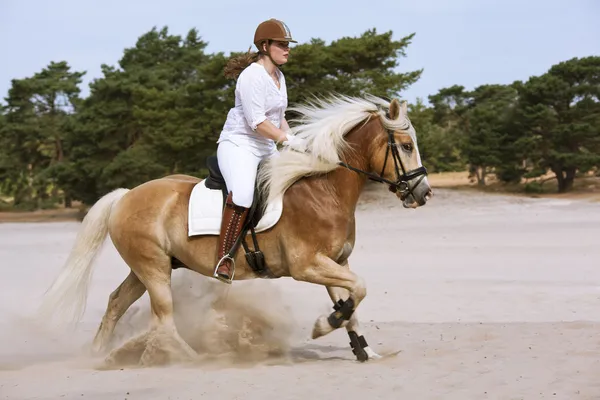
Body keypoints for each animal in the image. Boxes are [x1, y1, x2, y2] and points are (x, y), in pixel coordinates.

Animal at [37, 94, 432, 366]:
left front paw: (363, 350)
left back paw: (97, 353)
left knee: (117, 302)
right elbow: (358, 291)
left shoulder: (336, 263)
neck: (323, 191)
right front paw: (324, 325)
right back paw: (194, 358)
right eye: (406, 146)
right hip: (153, 268)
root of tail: (124, 196)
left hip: (147, 266)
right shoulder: (307, 266)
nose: (423, 193)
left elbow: (352, 303)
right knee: (163, 319)